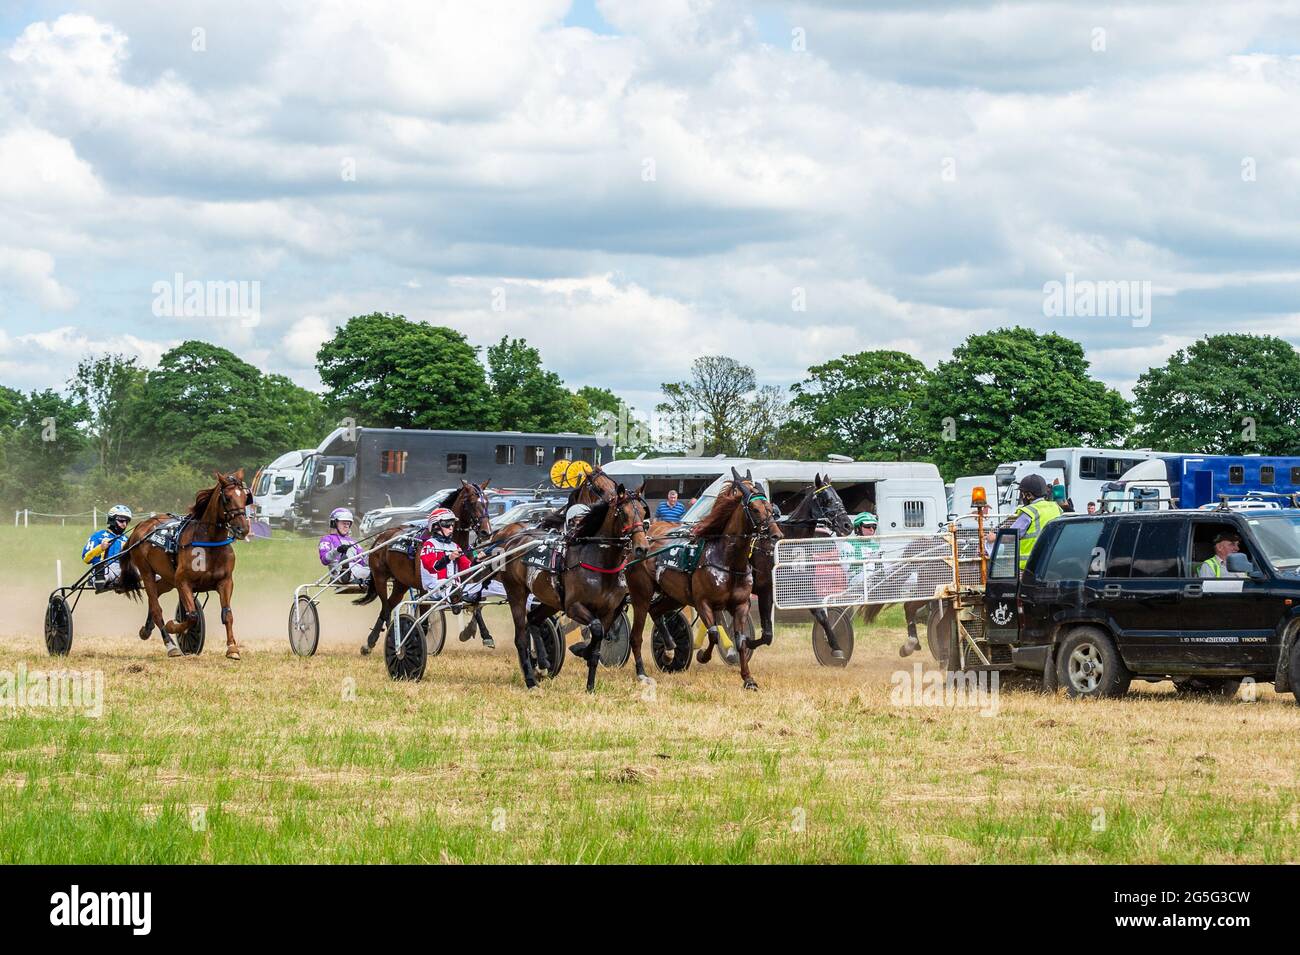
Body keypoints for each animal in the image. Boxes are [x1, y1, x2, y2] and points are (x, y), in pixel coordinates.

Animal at [121, 467, 253, 657]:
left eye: (245, 497)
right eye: (227, 498)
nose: (243, 529)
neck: (209, 542)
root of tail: (141, 527)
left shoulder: (225, 581)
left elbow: (227, 614)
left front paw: (232, 648)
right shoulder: (183, 581)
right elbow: (191, 616)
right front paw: (174, 627)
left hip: (168, 579)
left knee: (156, 597)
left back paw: (146, 629)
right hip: (147, 572)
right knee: (156, 608)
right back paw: (170, 645)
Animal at [353, 478, 488, 657]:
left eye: (487, 502)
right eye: (472, 502)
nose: (486, 531)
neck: (445, 542)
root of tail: (382, 537)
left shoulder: (465, 581)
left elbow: (477, 605)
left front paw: (480, 634)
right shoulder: (424, 587)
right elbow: (423, 618)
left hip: (401, 583)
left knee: (389, 604)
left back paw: (373, 641)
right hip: (380, 577)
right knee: (386, 608)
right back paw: (382, 638)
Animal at [629, 475, 780, 691]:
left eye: (770, 508)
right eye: (754, 508)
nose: (776, 535)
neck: (728, 560)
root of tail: (643, 540)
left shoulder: (742, 604)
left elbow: (741, 640)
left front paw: (748, 678)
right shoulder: (702, 602)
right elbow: (714, 634)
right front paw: (702, 655)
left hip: (673, 595)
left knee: (656, 611)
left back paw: (669, 648)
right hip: (641, 594)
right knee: (637, 633)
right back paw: (642, 672)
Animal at [748, 475, 857, 654]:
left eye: (839, 498)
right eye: (826, 499)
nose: (847, 525)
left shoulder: (803, 587)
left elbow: (821, 615)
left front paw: (835, 646)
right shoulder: (767, 591)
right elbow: (766, 634)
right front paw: (743, 643)